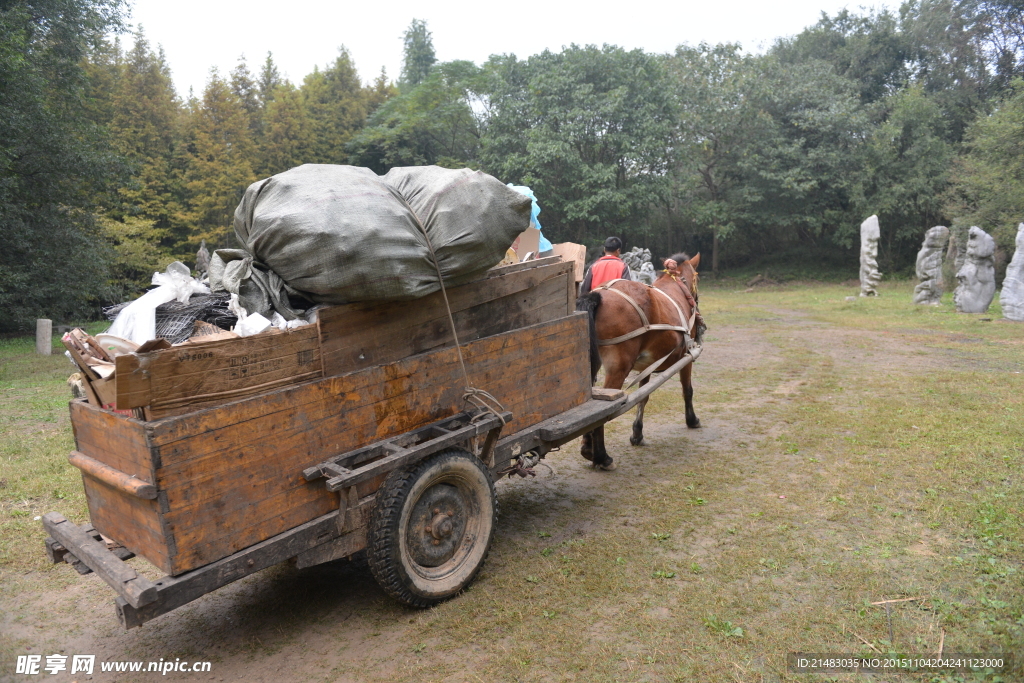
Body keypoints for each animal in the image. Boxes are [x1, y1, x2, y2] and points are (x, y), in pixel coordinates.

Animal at [577, 252, 704, 471]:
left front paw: (637, 433)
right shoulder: (687, 357)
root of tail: (598, 296)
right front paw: (692, 420)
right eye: (696, 277)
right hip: (618, 367)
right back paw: (602, 457)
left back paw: (588, 448)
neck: (677, 285)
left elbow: (643, 397)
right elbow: (687, 390)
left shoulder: (646, 365)